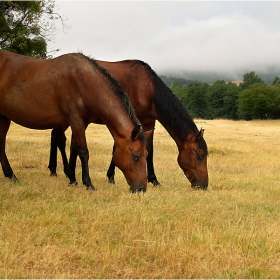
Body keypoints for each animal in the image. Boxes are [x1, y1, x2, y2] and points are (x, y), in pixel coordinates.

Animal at [0, 50, 148, 192]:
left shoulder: (82, 123)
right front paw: (88, 184)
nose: (141, 189)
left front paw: (72, 179)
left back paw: (11, 175)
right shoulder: (76, 121)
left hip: (4, 118)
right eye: (135, 156)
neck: (84, 82)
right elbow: (83, 152)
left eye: (146, 155)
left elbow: (74, 148)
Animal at [48, 59, 209, 190]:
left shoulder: (147, 125)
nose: (204, 185)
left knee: (57, 137)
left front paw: (154, 180)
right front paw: (111, 176)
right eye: (200, 155)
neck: (147, 89)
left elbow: (149, 151)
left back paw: (55, 170)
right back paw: (66, 173)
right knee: (61, 140)